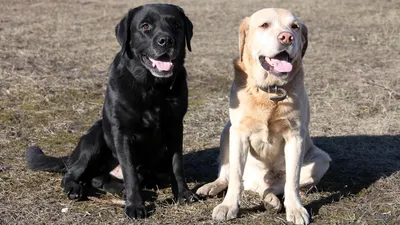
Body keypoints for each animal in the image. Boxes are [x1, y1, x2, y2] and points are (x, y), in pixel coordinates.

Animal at [25, 3, 198, 220]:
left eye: (176, 25)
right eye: (145, 26)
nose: (166, 40)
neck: (152, 88)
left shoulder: (175, 127)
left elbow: (177, 164)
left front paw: (183, 194)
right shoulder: (121, 132)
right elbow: (130, 172)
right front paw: (135, 206)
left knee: (98, 178)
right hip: (96, 137)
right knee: (72, 174)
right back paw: (75, 188)